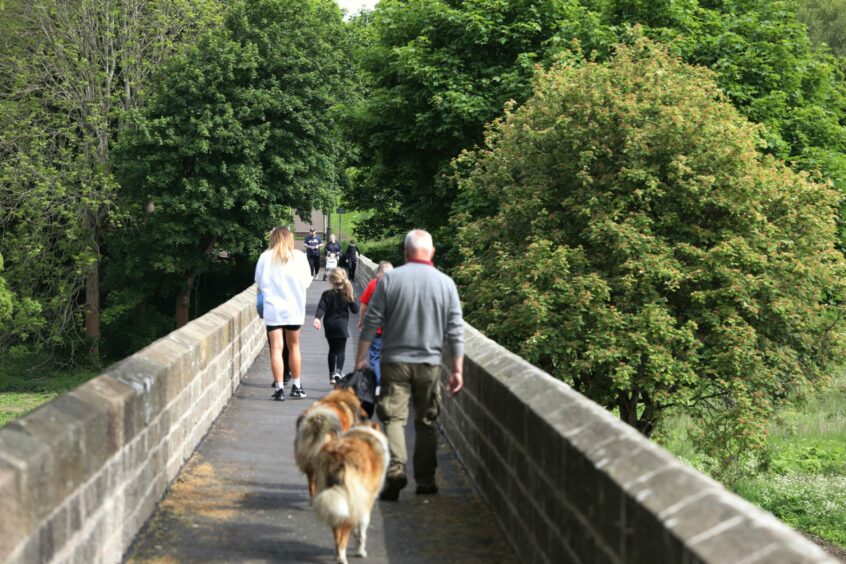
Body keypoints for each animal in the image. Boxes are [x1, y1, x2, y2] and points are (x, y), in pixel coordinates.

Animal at [314, 424, 390, 564]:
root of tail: (337, 455)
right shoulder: (365, 501)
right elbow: (362, 529)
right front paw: (360, 551)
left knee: (336, 530)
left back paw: (337, 555)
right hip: (350, 500)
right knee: (344, 532)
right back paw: (342, 557)